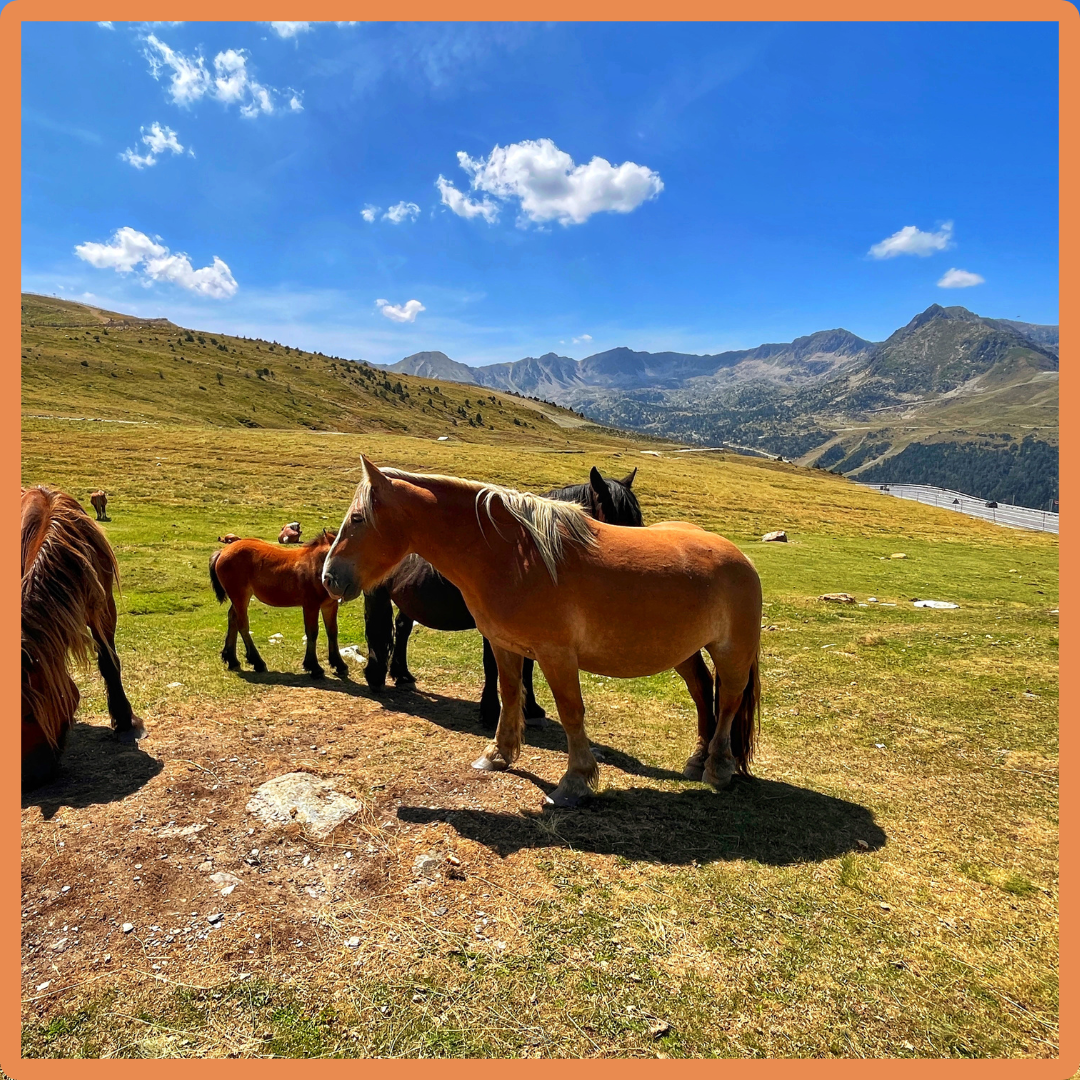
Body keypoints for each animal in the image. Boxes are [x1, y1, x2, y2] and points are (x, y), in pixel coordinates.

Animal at [209, 530, 346, 679]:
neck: (315, 566)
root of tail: (222, 551)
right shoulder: (311, 606)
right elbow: (312, 633)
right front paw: (314, 667)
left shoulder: (329, 605)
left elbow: (332, 632)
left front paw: (339, 664)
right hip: (240, 596)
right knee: (242, 625)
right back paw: (257, 662)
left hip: (239, 598)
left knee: (232, 619)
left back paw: (232, 660)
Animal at [363, 466, 645, 727]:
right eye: (619, 522)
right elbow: (492, 665)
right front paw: (490, 712)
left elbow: (528, 666)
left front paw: (531, 709)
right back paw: (375, 675)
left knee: (402, 628)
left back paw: (402, 674)